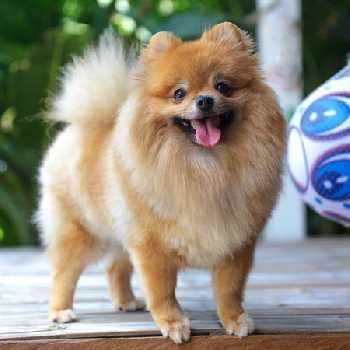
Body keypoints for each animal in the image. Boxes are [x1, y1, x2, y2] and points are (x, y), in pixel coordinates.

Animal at [37, 22, 286, 344]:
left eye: (222, 86)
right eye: (179, 93)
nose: (204, 100)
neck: (206, 167)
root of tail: (85, 125)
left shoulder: (235, 243)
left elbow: (228, 289)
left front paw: (234, 319)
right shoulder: (152, 247)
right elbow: (163, 293)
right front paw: (174, 323)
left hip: (120, 230)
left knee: (115, 267)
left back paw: (126, 301)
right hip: (80, 233)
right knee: (63, 273)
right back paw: (61, 311)